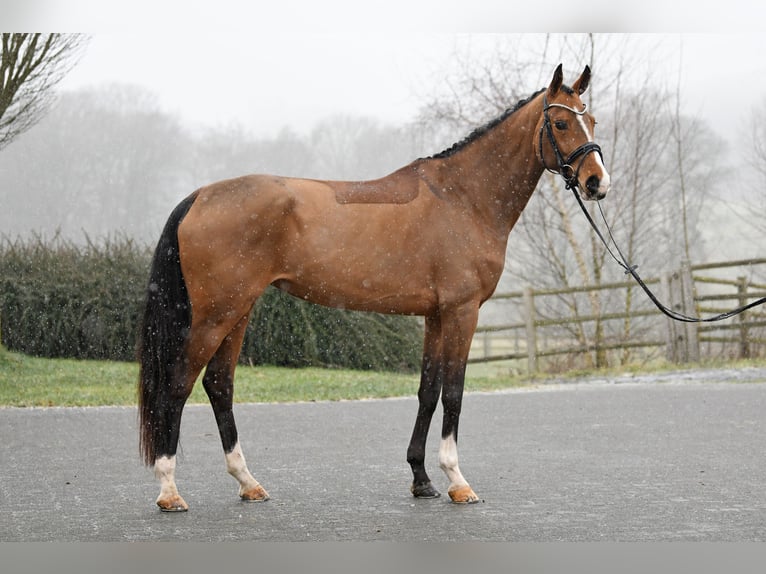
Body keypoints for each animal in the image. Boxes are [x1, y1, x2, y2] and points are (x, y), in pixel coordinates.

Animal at [135, 64, 608, 512]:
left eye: (592, 121)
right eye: (561, 124)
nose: (597, 183)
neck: (463, 197)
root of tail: (200, 196)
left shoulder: (436, 315)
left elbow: (428, 391)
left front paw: (422, 480)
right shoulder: (462, 311)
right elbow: (454, 392)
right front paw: (458, 482)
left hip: (238, 310)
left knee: (219, 384)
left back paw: (247, 483)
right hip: (216, 314)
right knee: (178, 384)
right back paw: (169, 491)